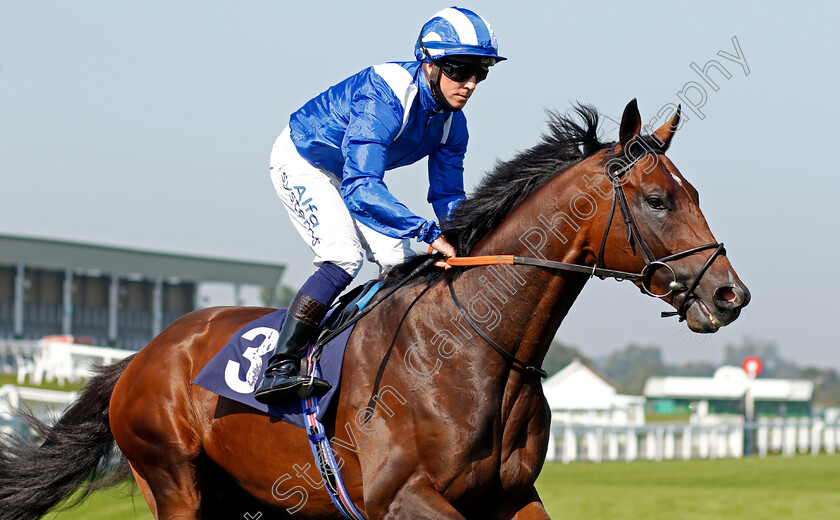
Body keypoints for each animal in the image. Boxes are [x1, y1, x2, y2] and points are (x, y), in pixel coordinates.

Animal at [0, 99, 748, 516]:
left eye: (696, 192)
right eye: (659, 200)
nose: (729, 294)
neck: (478, 351)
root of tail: (141, 356)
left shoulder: (510, 496)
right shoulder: (402, 495)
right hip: (175, 484)